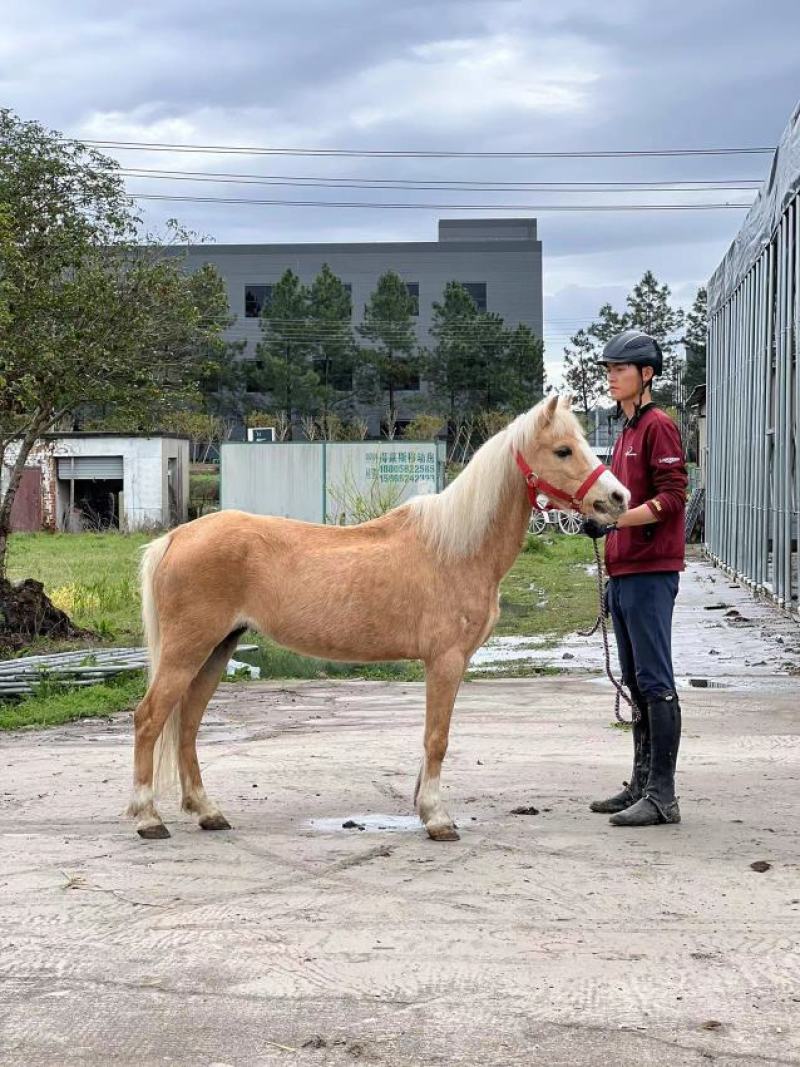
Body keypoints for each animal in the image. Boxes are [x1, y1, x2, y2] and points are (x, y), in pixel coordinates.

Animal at [127, 394, 629, 842]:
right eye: (563, 450)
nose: (617, 497)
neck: (456, 548)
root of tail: (175, 537)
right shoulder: (446, 661)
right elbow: (437, 738)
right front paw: (438, 819)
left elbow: (430, 738)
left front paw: (424, 808)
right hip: (187, 650)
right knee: (150, 718)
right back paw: (149, 818)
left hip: (217, 649)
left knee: (188, 724)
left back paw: (207, 811)